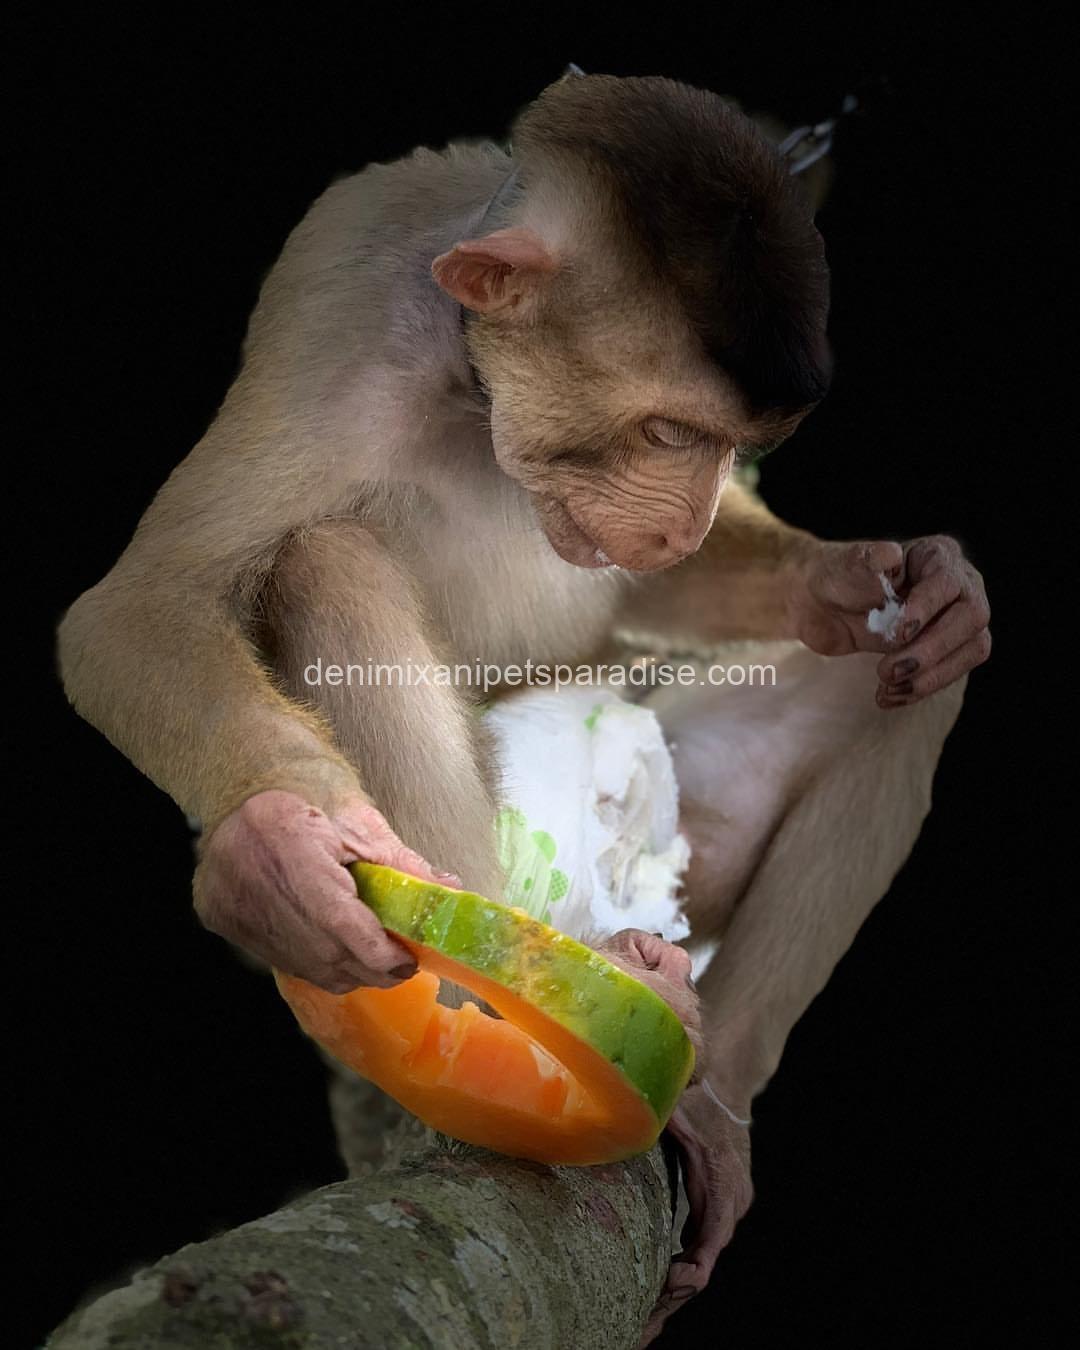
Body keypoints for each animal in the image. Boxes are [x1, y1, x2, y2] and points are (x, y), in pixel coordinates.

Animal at [56, 73, 990, 1341]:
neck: (473, 378)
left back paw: (713, 1089)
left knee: (899, 684)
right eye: (669, 431)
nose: (684, 518)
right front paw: (277, 848)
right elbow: (138, 607)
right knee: (325, 561)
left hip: (672, 855)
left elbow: (700, 601)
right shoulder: (341, 322)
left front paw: (868, 585)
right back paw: (495, 1020)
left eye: (729, 447)